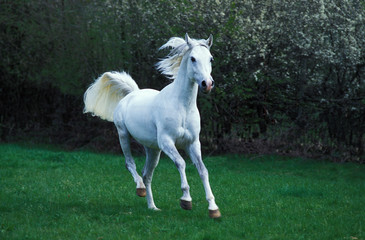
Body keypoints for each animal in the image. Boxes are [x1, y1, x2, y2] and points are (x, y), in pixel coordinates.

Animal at [83, 34, 219, 219]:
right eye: (192, 58)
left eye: (211, 58)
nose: (207, 84)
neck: (182, 106)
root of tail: (132, 94)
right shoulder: (167, 142)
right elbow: (181, 163)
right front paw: (186, 200)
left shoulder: (193, 143)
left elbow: (203, 170)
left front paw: (213, 208)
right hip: (123, 135)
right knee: (130, 164)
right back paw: (140, 188)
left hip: (153, 150)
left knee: (147, 174)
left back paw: (152, 207)